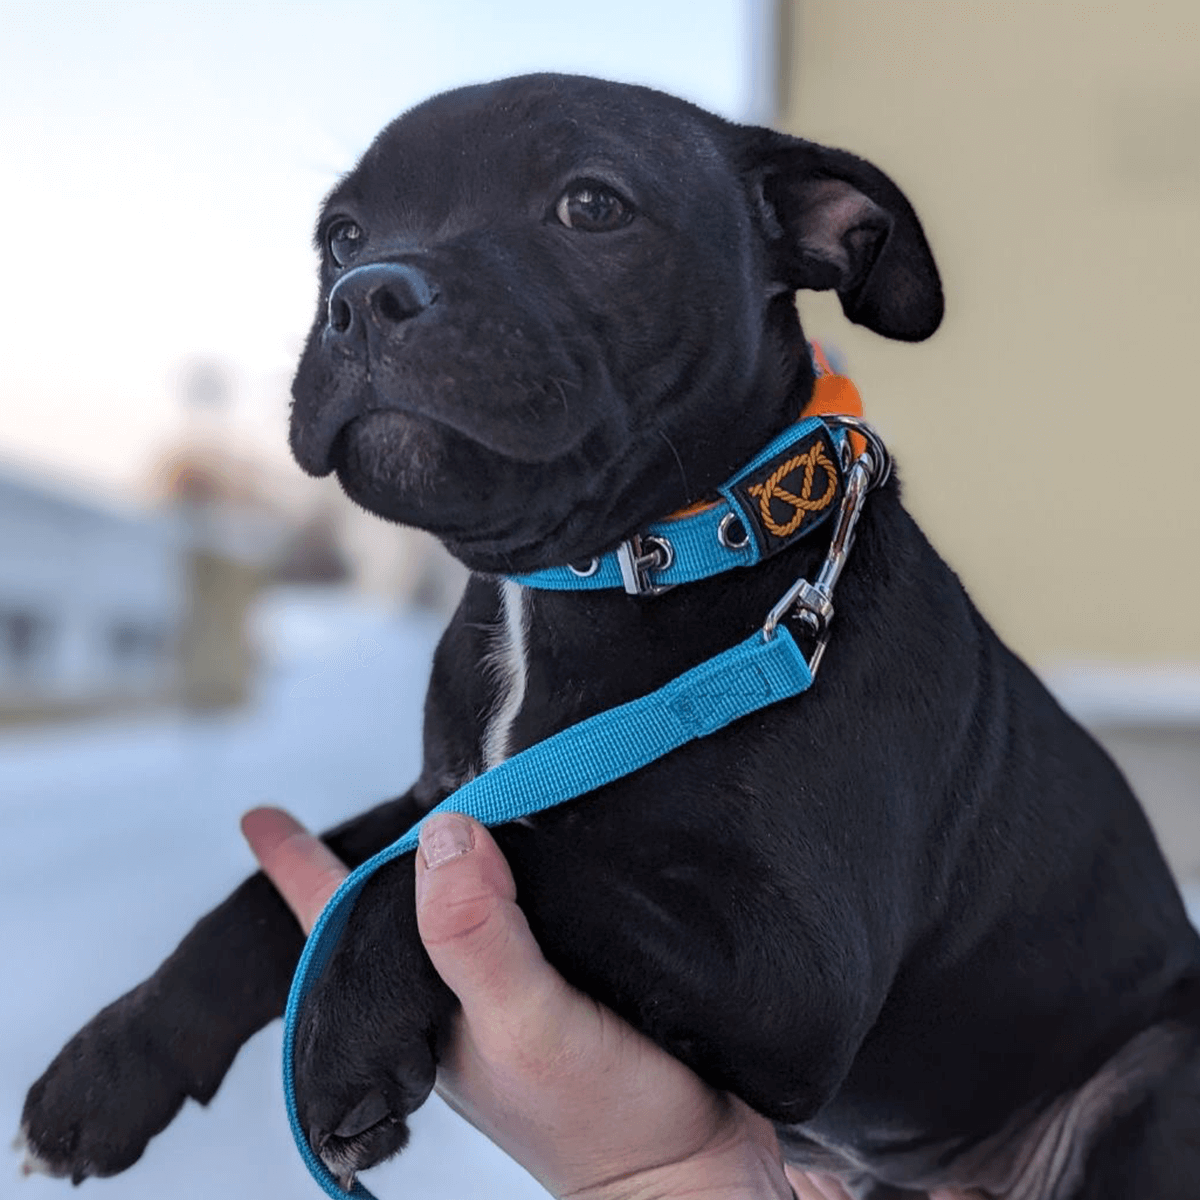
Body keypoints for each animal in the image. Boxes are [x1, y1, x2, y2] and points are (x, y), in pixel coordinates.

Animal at [16, 75, 1200, 1200]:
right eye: (342, 236)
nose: (366, 294)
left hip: (1146, 1083)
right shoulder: (439, 789)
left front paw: (341, 1040)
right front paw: (110, 1067)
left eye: (591, 206)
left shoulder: (792, 972)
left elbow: (504, 853)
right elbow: (286, 893)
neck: (595, 573)